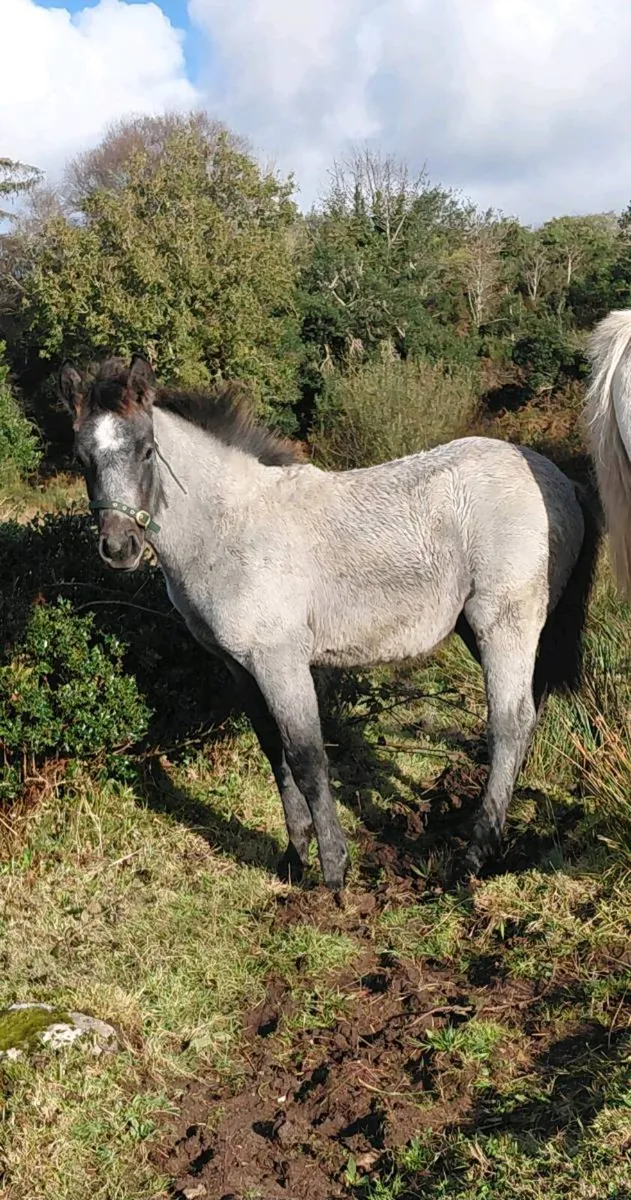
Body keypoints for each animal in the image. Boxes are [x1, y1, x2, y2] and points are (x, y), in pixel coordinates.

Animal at [59, 355, 598, 891]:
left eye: (147, 450)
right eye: (82, 458)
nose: (119, 548)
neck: (232, 526)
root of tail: (560, 481)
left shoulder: (281, 662)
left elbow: (308, 759)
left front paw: (334, 869)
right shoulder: (240, 667)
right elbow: (274, 753)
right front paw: (294, 857)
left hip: (503, 623)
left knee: (509, 723)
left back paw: (474, 854)